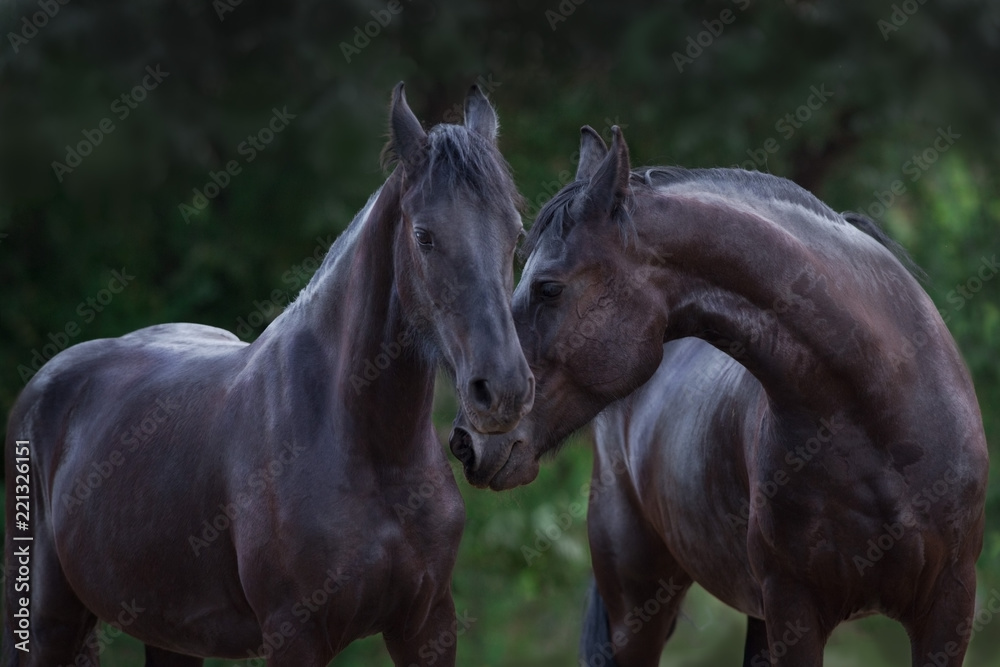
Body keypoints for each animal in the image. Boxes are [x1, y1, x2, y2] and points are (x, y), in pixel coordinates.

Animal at [3, 83, 534, 666]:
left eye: (516, 231)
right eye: (424, 236)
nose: (502, 391)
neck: (369, 445)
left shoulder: (426, 625)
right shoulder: (294, 634)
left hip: (168, 633)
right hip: (47, 621)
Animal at [449, 125, 988, 666]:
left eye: (549, 288)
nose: (466, 440)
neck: (878, 414)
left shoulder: (949, 607)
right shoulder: (794, 608)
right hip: (638, 609)